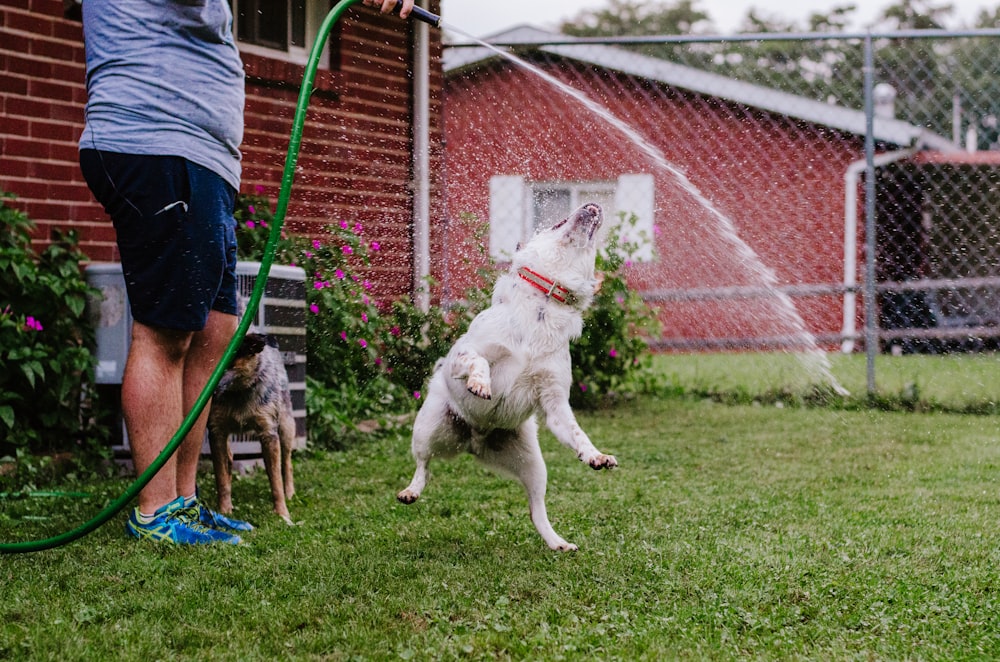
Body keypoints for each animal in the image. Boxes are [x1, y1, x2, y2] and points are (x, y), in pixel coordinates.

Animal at [206, 334, 292, 528]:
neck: (238, 393)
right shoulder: (216, 431)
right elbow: (221, 478)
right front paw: (224, 511)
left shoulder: (269, 433)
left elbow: (276, 481)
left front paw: (282, 514)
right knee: (229, 459)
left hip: (286, 426)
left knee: (287, 461)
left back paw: (290, 492)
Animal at [398, 204, 616, 556]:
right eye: (558, 221)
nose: (591, 205)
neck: (543, 308)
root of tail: (474, 440)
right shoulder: (462, 355)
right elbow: (478, 361)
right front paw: (480, 384)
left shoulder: (555, 401)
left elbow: (576, 433)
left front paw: (595, 455)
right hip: (429, 427)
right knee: (424, 465)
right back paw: (411, 490)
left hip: (533, 464)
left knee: (536, 509)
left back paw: (557, 542)